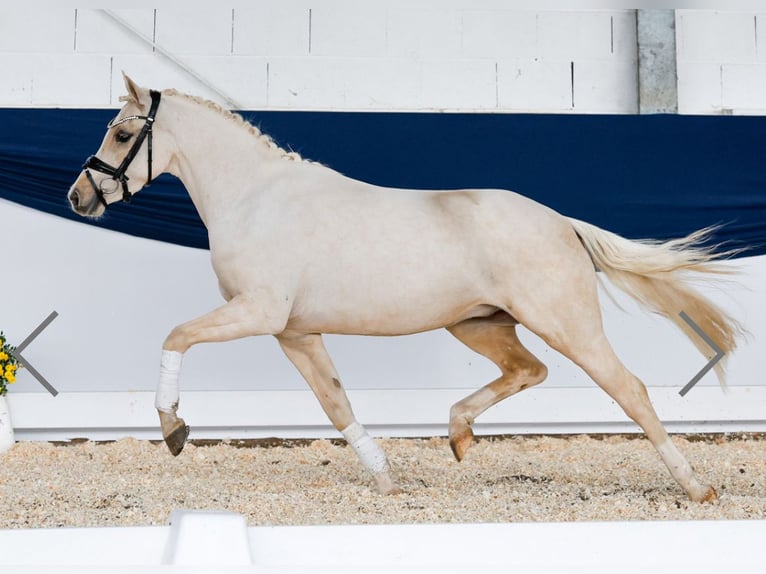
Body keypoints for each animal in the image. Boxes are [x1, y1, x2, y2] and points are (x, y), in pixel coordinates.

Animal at [69, 76, 740, 504]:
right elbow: (335, 403)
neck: (256, 198)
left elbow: (176, 335)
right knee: (529, 370)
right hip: (478, 323)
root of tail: (562, 222)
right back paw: (459, 436)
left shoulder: (257, 312)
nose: (79, 197)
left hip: (566, 324)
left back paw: (697, 488)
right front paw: (387, 481)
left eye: (123, 134)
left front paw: (173, 429)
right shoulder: (295, 332)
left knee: (629, 390)